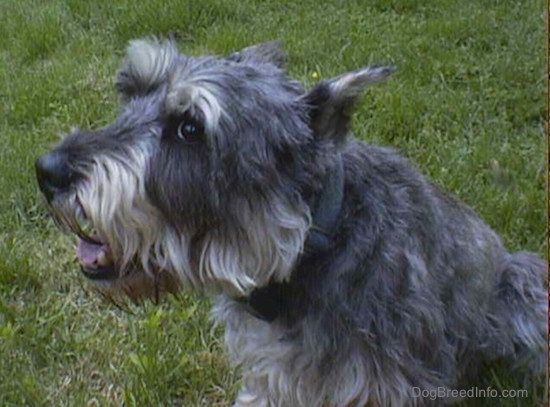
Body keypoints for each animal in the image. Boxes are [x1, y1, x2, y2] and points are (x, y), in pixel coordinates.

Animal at [36, 39, 548, 407]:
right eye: (131, 90)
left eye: (190, 128)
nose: (47, 170)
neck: (304, 254)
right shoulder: (269, 378)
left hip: (525, 283)